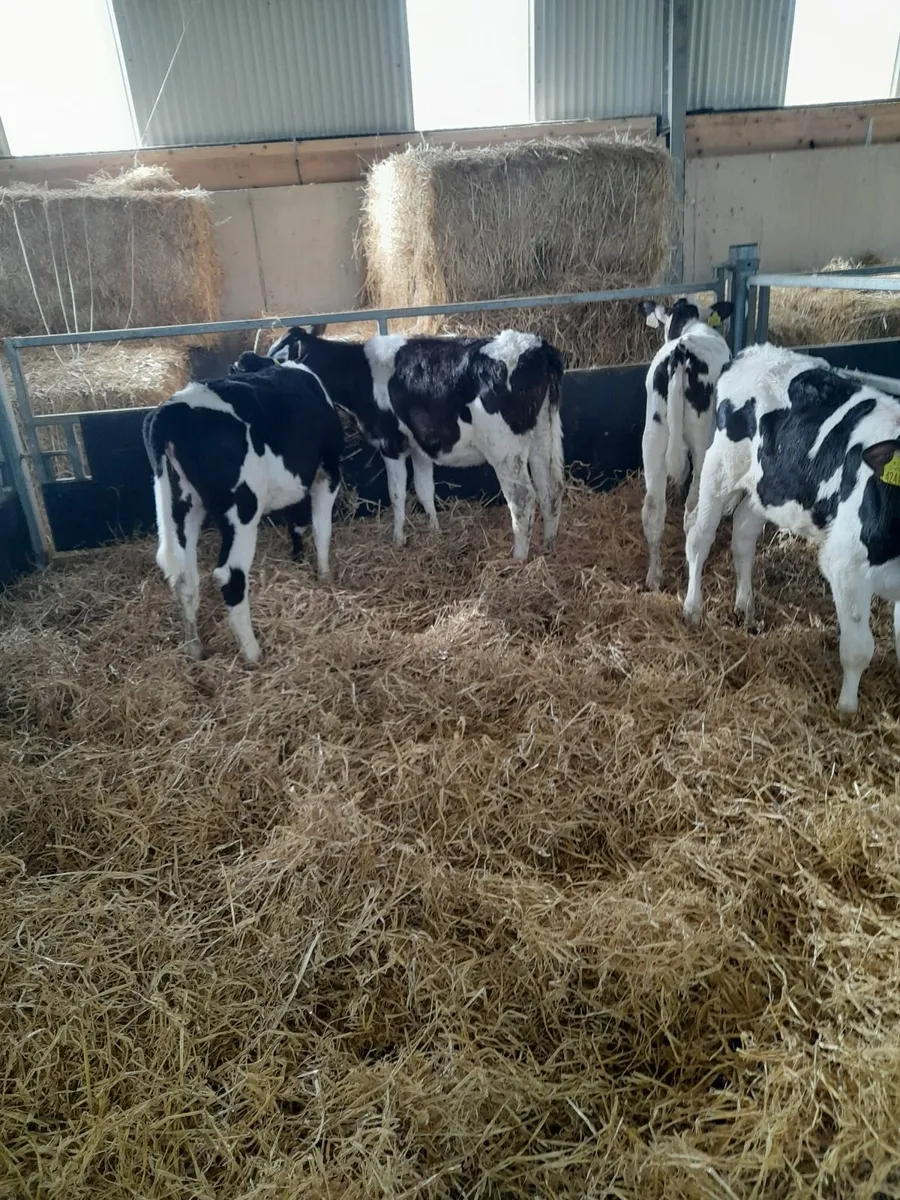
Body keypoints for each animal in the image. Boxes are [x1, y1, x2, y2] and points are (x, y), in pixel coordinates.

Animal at [143, 356, 344, 662]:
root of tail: (171, 412)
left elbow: (297, 522)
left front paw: (298, 559)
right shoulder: (327, 472)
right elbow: (323, 530)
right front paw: (324, 577)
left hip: (179, 503)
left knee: (183, 576)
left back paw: (195, 648)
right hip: (243, 510)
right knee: (230, 574)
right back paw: (253, 652)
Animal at [258, 324, 565, 561]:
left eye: (276, 355)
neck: (362, 373)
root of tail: (535, 346)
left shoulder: (390, 443)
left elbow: (396, 493)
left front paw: (398, 539)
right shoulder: (420, 446)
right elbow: (424, 489)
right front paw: (435, 532)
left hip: (504, 449)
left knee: (523, 498)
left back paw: (519, 558)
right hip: (543, 434)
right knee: (550, 488)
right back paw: (549, 544)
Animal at [636, 297, 734, 588]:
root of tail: (681, 351)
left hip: (653, 437)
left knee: (653, 510)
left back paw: (654, 576)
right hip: (703, 443)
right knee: (692, 514)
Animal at [682, 342, 900, 714]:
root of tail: (753, 351)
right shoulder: (846, 566)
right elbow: (858, 649)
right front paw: (847, 710)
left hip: (766, 487)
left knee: (743, 535)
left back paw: (746, 607)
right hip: (721, 466)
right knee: (699, 535)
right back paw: (692, 609)